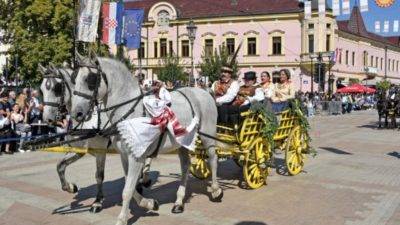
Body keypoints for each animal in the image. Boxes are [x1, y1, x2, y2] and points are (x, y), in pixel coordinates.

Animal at [70, 57, 223, 224]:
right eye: (74, 78)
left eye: (90, 79)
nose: (76, 113)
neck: (129, 112)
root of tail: (204, 92)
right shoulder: (124, 155)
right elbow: (130, 186)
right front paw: (149, 203)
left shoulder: (136, 157)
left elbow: (127, 190)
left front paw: (122, 219)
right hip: (182, 141)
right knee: (185, 166)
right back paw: (179, 202)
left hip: (208, 135)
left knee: (213, 159)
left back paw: (216, 190)